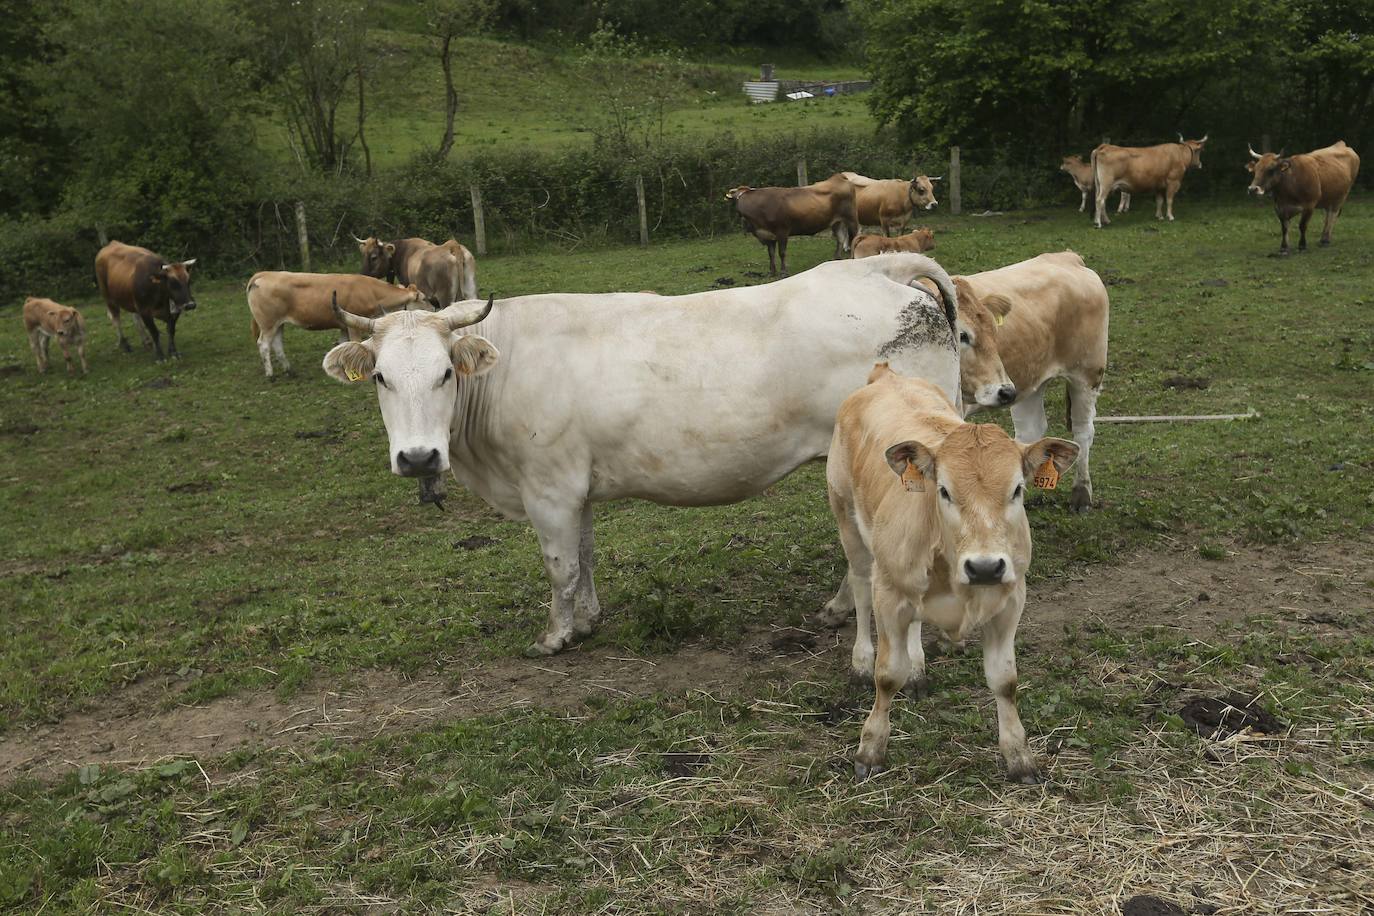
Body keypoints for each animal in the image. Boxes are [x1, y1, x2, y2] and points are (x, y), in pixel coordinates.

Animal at [247, 270, 425, 379]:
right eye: (424, 299)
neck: (371, 291)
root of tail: (265, 274)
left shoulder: (344, 325)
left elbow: (343, 344)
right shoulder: (353, 325)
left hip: (278, 324)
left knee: (277, 345)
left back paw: (290, 371)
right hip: (268, 323)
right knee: (263, 345)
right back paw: (270, 375)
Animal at [325, 252, 961, 659]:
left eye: (444, 373)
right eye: (380, 376)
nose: (417, 458)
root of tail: (874, 267)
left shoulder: (548, 488)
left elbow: (559, 566)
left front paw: (554, 638)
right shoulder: (574, 487)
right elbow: (583, 557)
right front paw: (585, 620)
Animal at [719, 173, 857, 276]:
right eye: (735, 198)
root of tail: (838, 177)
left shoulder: (782, 231)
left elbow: (782, 253)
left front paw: (783, 272)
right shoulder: (768, 236)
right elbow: (771, 254)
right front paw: (772, 272)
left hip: (851, 219)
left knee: (853, 237)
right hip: (836, 222)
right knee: (840, 238)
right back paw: (836, 258)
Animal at [818, 362, 1077, 780]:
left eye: (1017, 489)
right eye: (943, 490)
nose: (985, 566)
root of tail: (886, 376)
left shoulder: (1011, 599)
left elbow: (1004, 680)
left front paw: (1019, 756)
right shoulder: (889, 594)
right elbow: (887, 674)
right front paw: (870, 749)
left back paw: (918, 668)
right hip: (847, 519)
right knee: (859, 586)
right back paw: (860, 661)